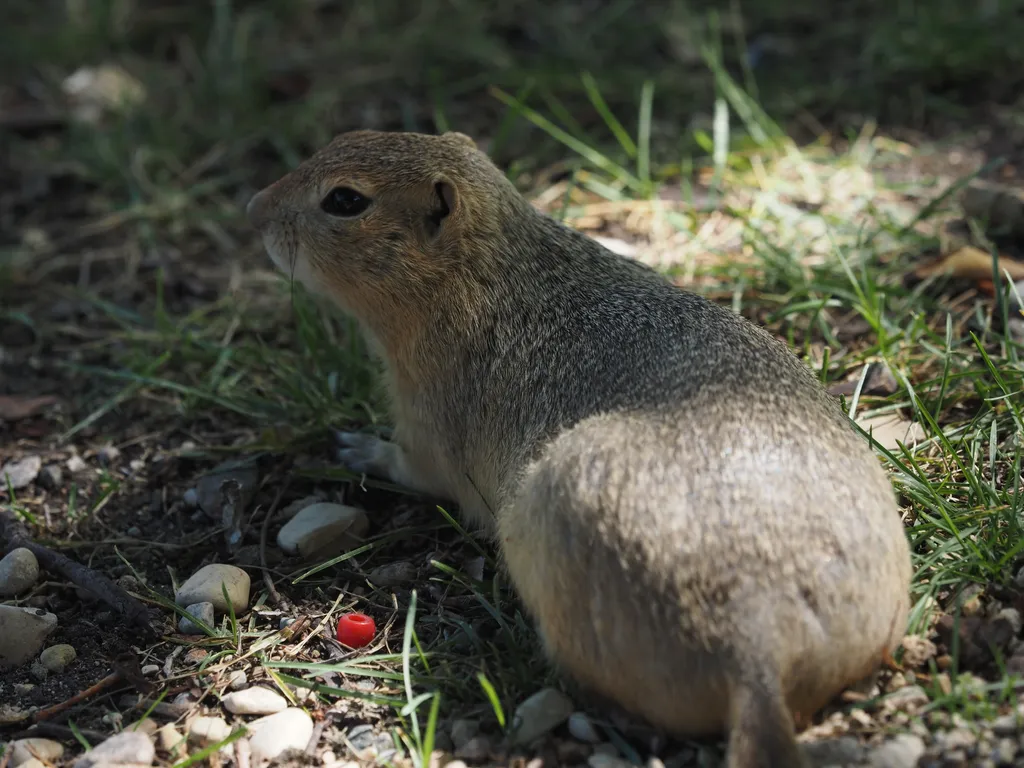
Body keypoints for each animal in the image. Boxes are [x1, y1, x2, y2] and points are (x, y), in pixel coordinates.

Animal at [247, 129, 913, 765]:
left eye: (345, 200)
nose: (256, 208)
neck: (488, 271)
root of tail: (760, 646)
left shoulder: (425, 419)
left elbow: (412, 467)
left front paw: (357, 447)